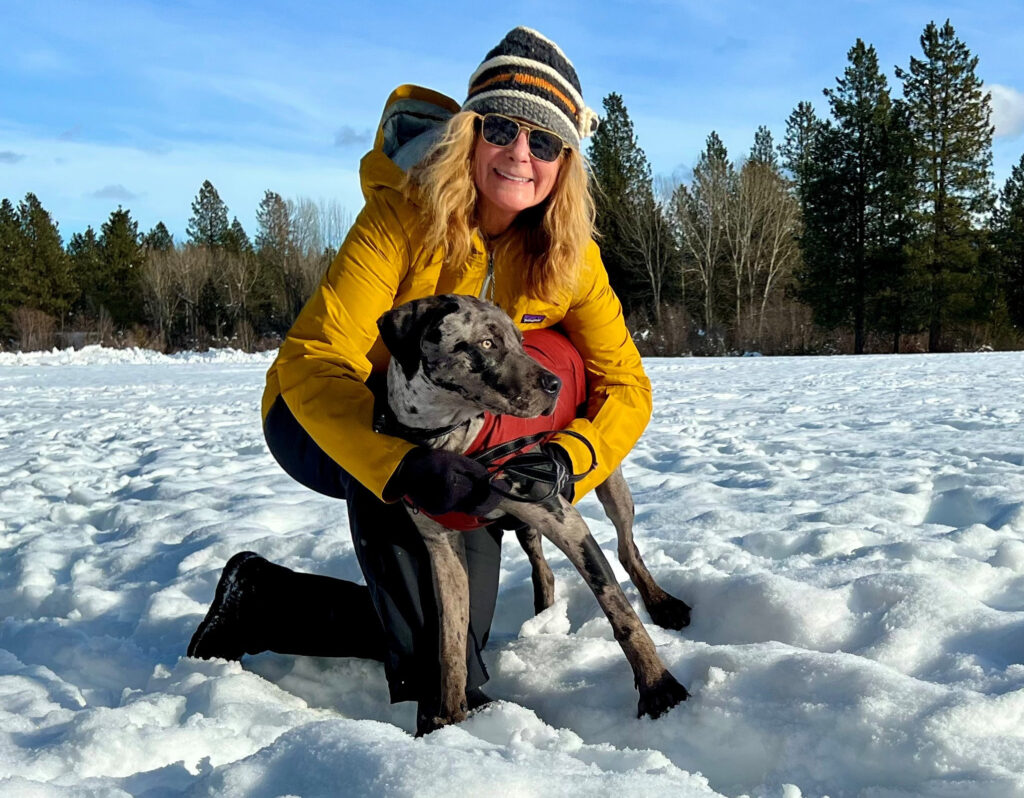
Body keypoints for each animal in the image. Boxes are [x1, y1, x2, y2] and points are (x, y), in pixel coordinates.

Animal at [376, 294, 691, 735]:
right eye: (486, 343)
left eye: (520, 341)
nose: (554, 384)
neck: (454, 442)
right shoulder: (441, 547)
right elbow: (450, 642)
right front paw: (449, 720)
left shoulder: (565, 520)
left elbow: (618, 609)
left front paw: (658, 686)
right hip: (526, 524)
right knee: (542, 567)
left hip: (608, 479)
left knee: (628, 550)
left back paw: (662, 603)